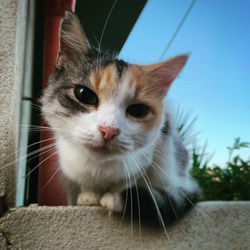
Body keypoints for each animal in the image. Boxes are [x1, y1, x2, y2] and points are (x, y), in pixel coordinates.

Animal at [41, 11, 201, 226]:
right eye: (84, 94)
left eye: (138, 110)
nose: (109, 130)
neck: (98, 168)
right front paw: (88, 196)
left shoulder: (153, 161)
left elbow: (128, 183)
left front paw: (114, 198)